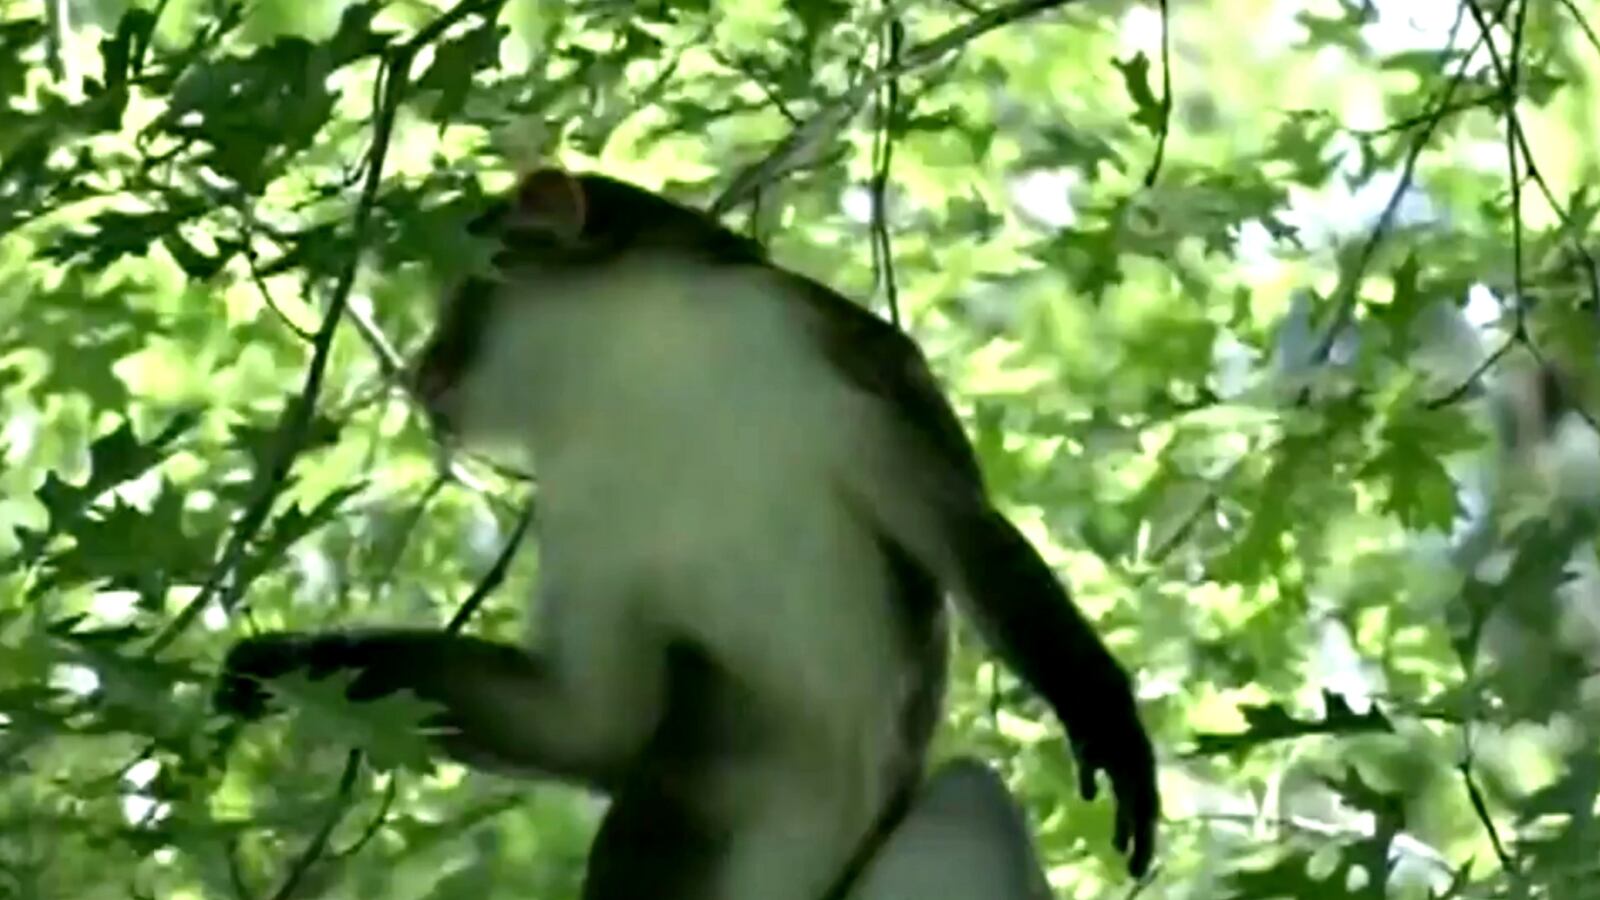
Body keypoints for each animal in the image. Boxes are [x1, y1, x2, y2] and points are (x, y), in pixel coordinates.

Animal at [216, 168, 1159, 900]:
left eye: (464, 287)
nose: (421, 370)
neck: (634, 366)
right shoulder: (579, 505)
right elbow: (590, 720)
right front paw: (285, 667)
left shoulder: (836, 355)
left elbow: (963, 535)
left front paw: (1105, 720)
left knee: (957, 793)